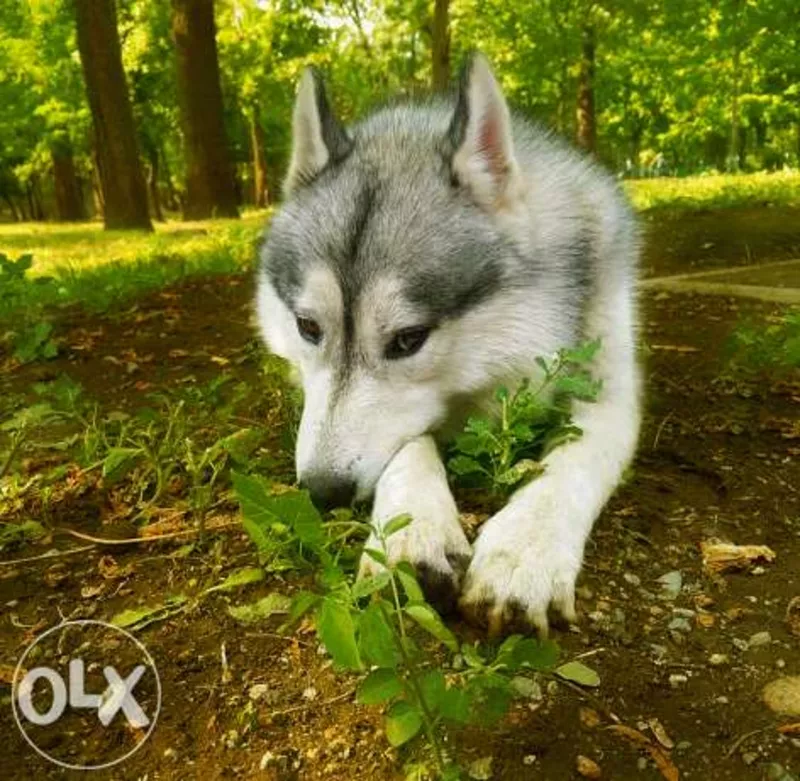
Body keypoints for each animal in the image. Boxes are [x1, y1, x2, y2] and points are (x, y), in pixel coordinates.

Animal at [260, 54, 640, 632]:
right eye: (308, 327)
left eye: (408, 340)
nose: (322, 492)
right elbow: (409, 441)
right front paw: (414, 530)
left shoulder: (613, 394)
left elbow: (573, 461)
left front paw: (523, 551)